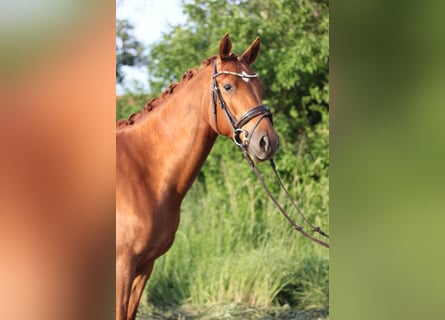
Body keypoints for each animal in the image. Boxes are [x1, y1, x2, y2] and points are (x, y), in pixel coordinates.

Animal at [116, 33, 280, 318]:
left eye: (260, 85)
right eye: (228, 86)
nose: (267, 141)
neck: (142, 171)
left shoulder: (144, 268)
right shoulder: (121, 269)